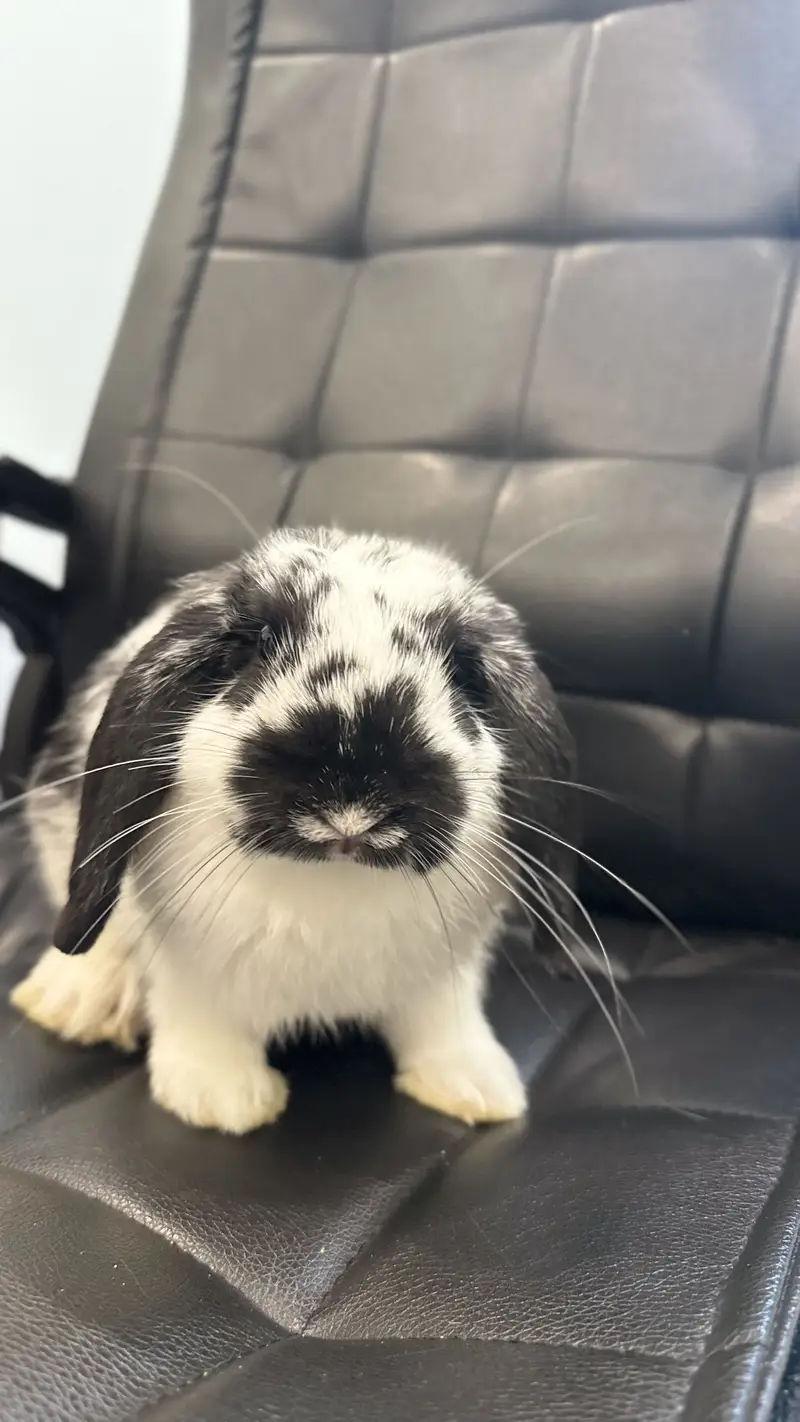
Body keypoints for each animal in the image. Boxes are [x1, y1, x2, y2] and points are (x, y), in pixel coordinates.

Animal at [11, 528, 577, 1134]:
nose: (354, 795)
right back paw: (75, 1003)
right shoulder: (191, 967)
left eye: (465, 672)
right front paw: (223, 1101)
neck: (332, 888)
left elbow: (444, 1026)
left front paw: (476, 1089)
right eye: (249, 647)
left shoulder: (446, 975)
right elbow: (201, 1021)